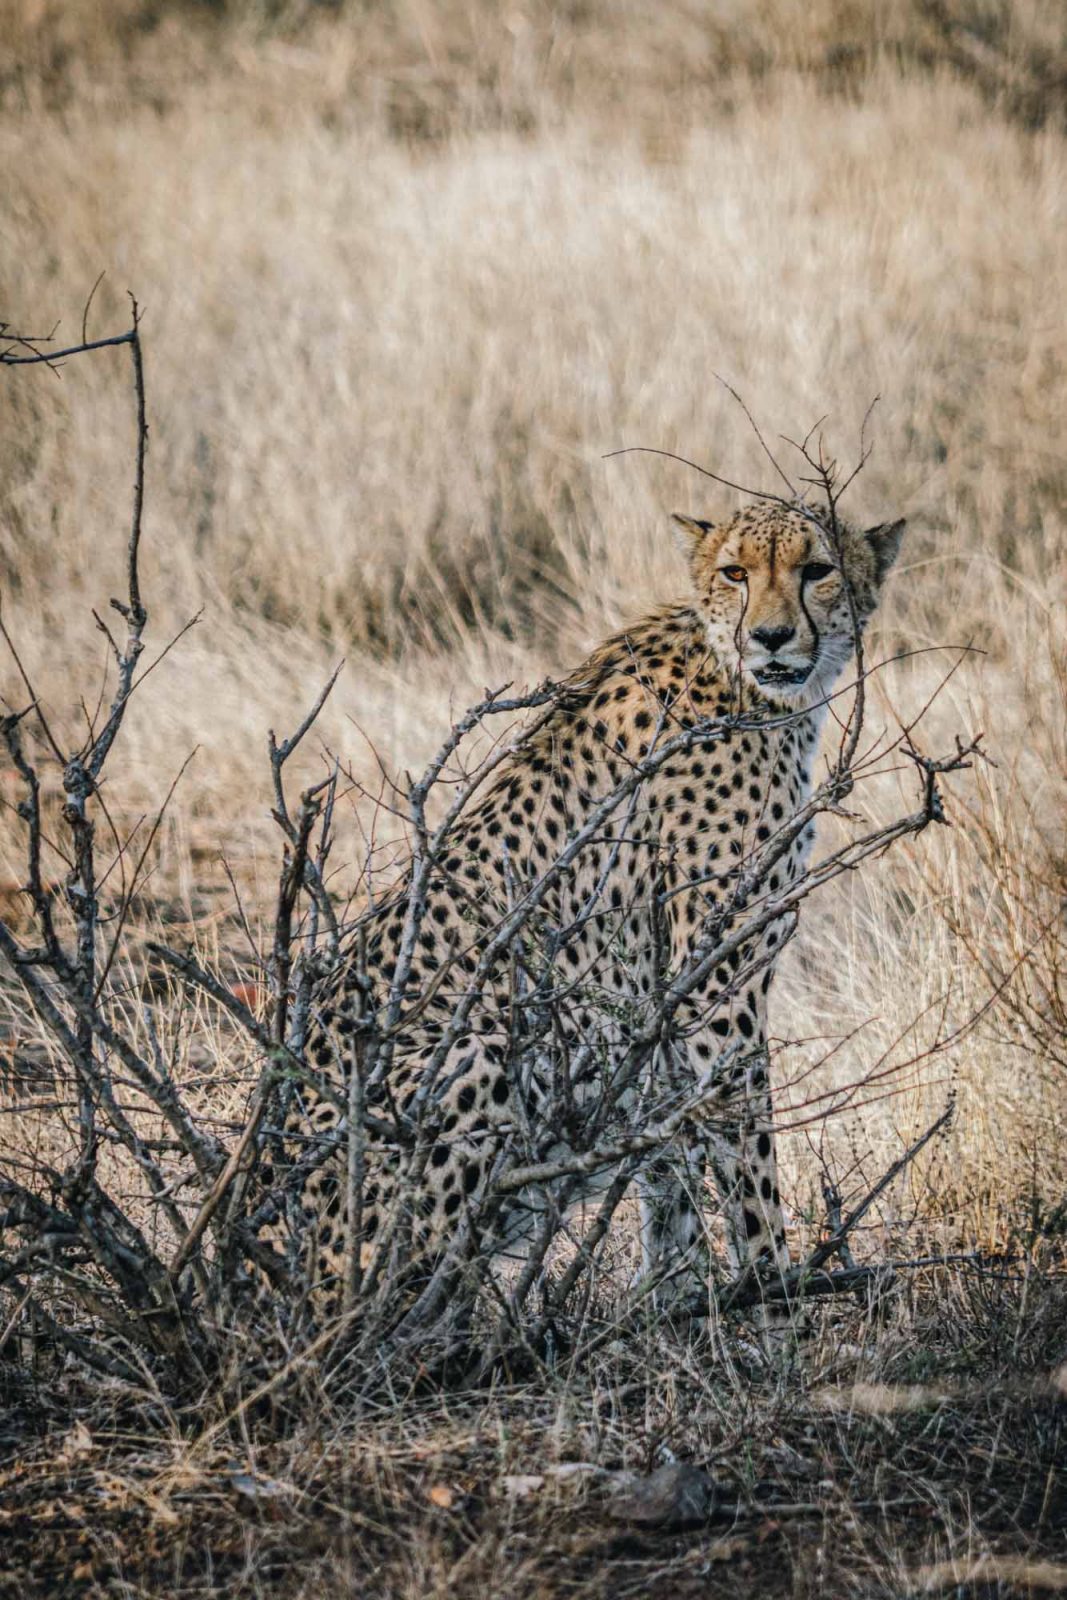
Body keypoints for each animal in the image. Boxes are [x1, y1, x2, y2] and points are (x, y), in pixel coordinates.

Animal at [279, 502, 908, 1324]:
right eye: (735, 572)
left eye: (817, 570)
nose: (771, 637)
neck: (744, 686)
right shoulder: (717, 990)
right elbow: (747, 1158)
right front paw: (773, 1293)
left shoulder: (663, 998)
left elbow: (669, 1167)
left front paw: (671, 1301)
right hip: (484, 1049)